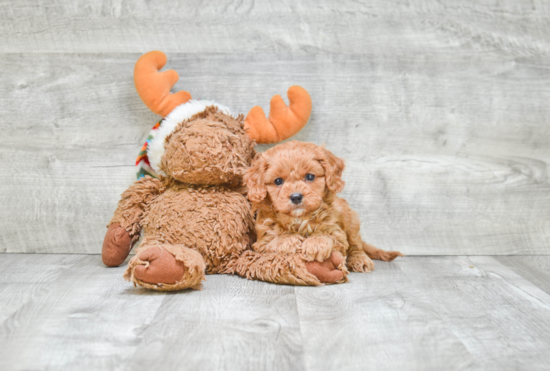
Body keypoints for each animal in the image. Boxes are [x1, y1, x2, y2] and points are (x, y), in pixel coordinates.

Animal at [246, 141, 406, 284]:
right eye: (278, 181)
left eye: (310, 176)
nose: (296, 197)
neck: (300, 218)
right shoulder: (261, 241)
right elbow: (272, 242)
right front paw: (289, 240)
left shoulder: (337, 233)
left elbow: (328, 236)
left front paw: (316, 243)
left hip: (349, 218)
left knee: (356, 244)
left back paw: (360, 259)